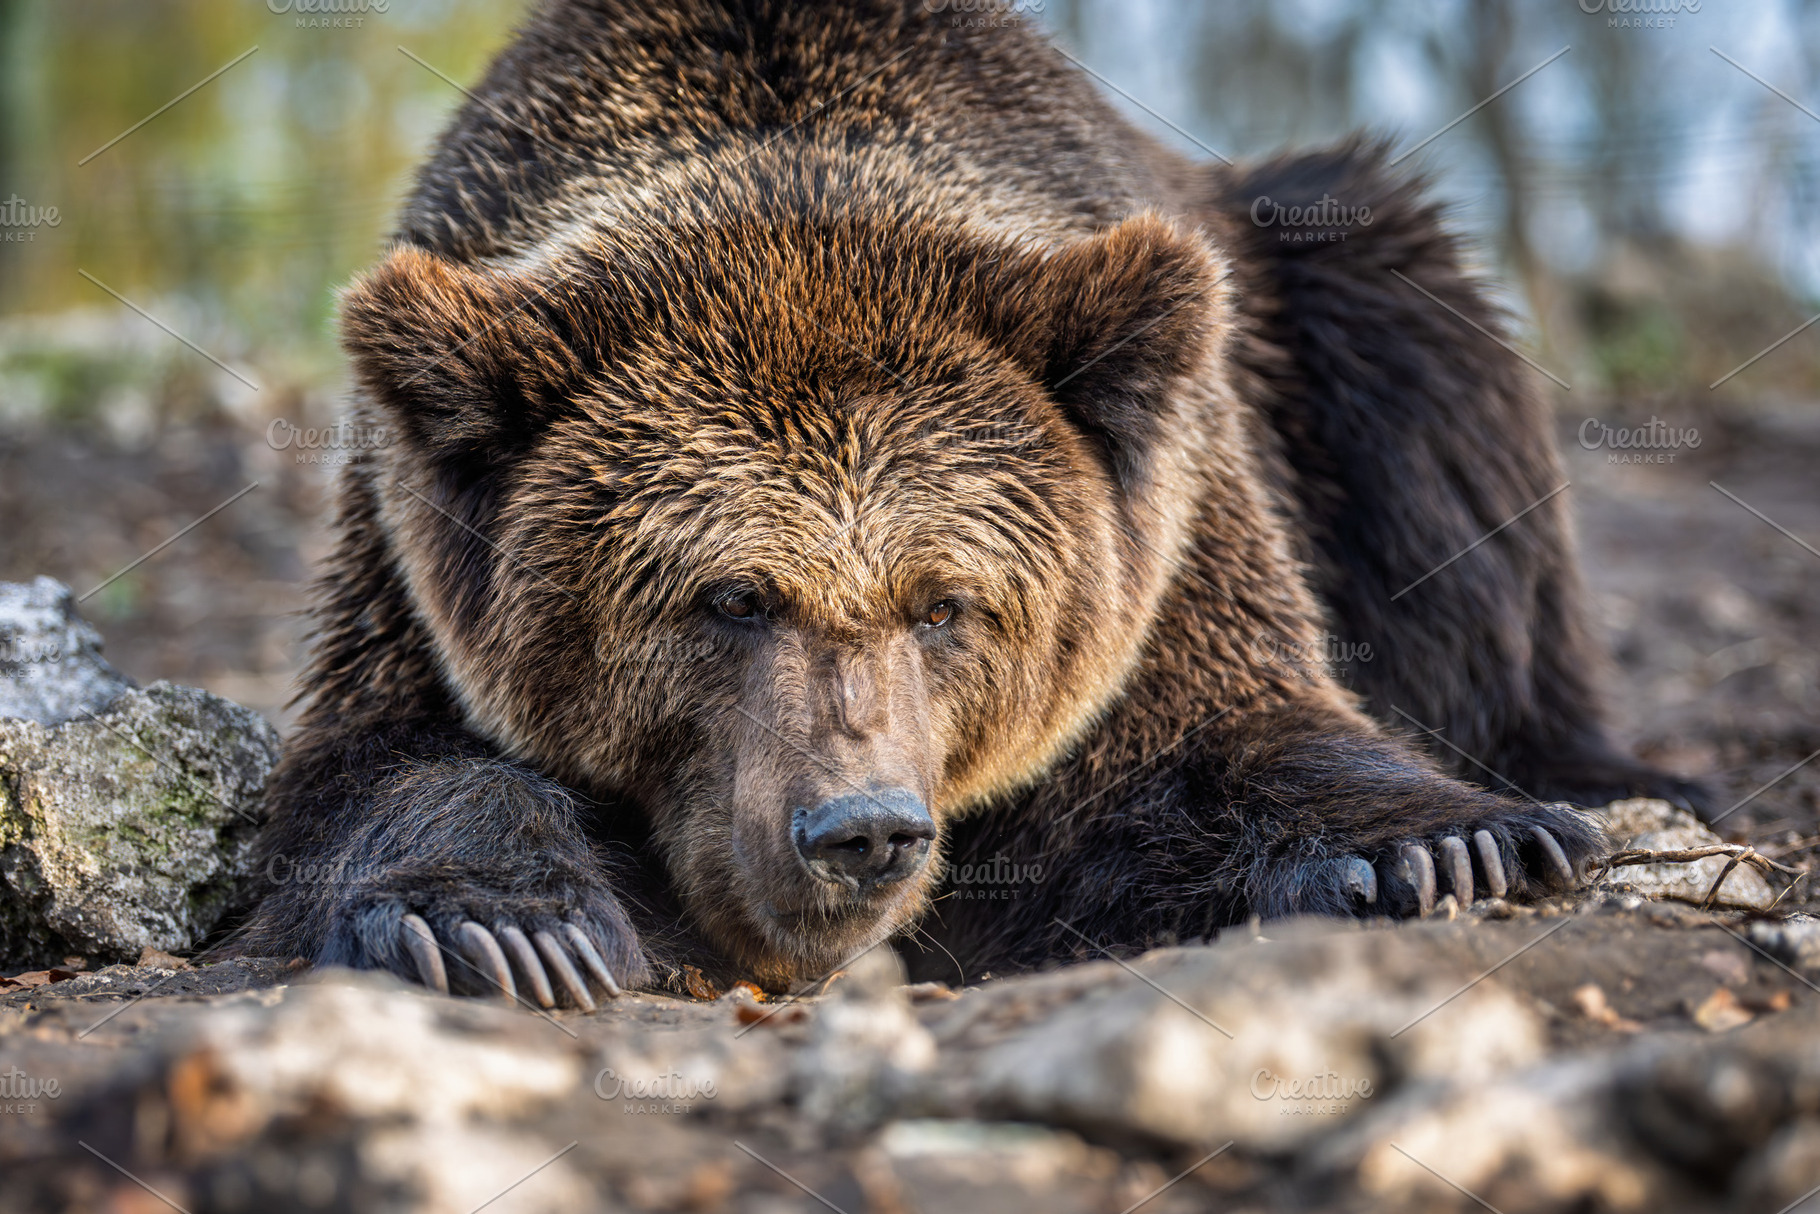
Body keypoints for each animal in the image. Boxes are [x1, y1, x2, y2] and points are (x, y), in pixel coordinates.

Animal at [227, 0, 1705, 1003]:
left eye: (946, 604)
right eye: (730, 597)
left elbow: (1217, 736)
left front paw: (1452, 843)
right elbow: (380, 770)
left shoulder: (1166, 521)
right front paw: (504, 922)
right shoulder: (413, 558)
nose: (859, 829)